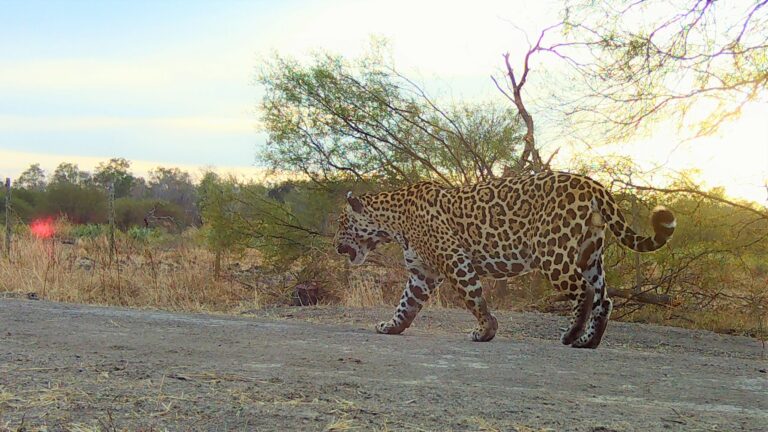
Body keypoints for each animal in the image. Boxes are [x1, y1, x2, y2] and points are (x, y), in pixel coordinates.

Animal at [334, 171, 676, 348]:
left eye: (341, 224)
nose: (336, 246)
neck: (392, 220)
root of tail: (593, 183)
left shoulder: (454, 259)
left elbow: (473, 297)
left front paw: (486, 331)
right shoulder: (422, 273)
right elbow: (406, 304)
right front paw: (391, 327)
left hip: (552, 252)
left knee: (586, 291)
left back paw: (571, 335)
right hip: (590, 253)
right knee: (605, 298)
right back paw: (589, 341)